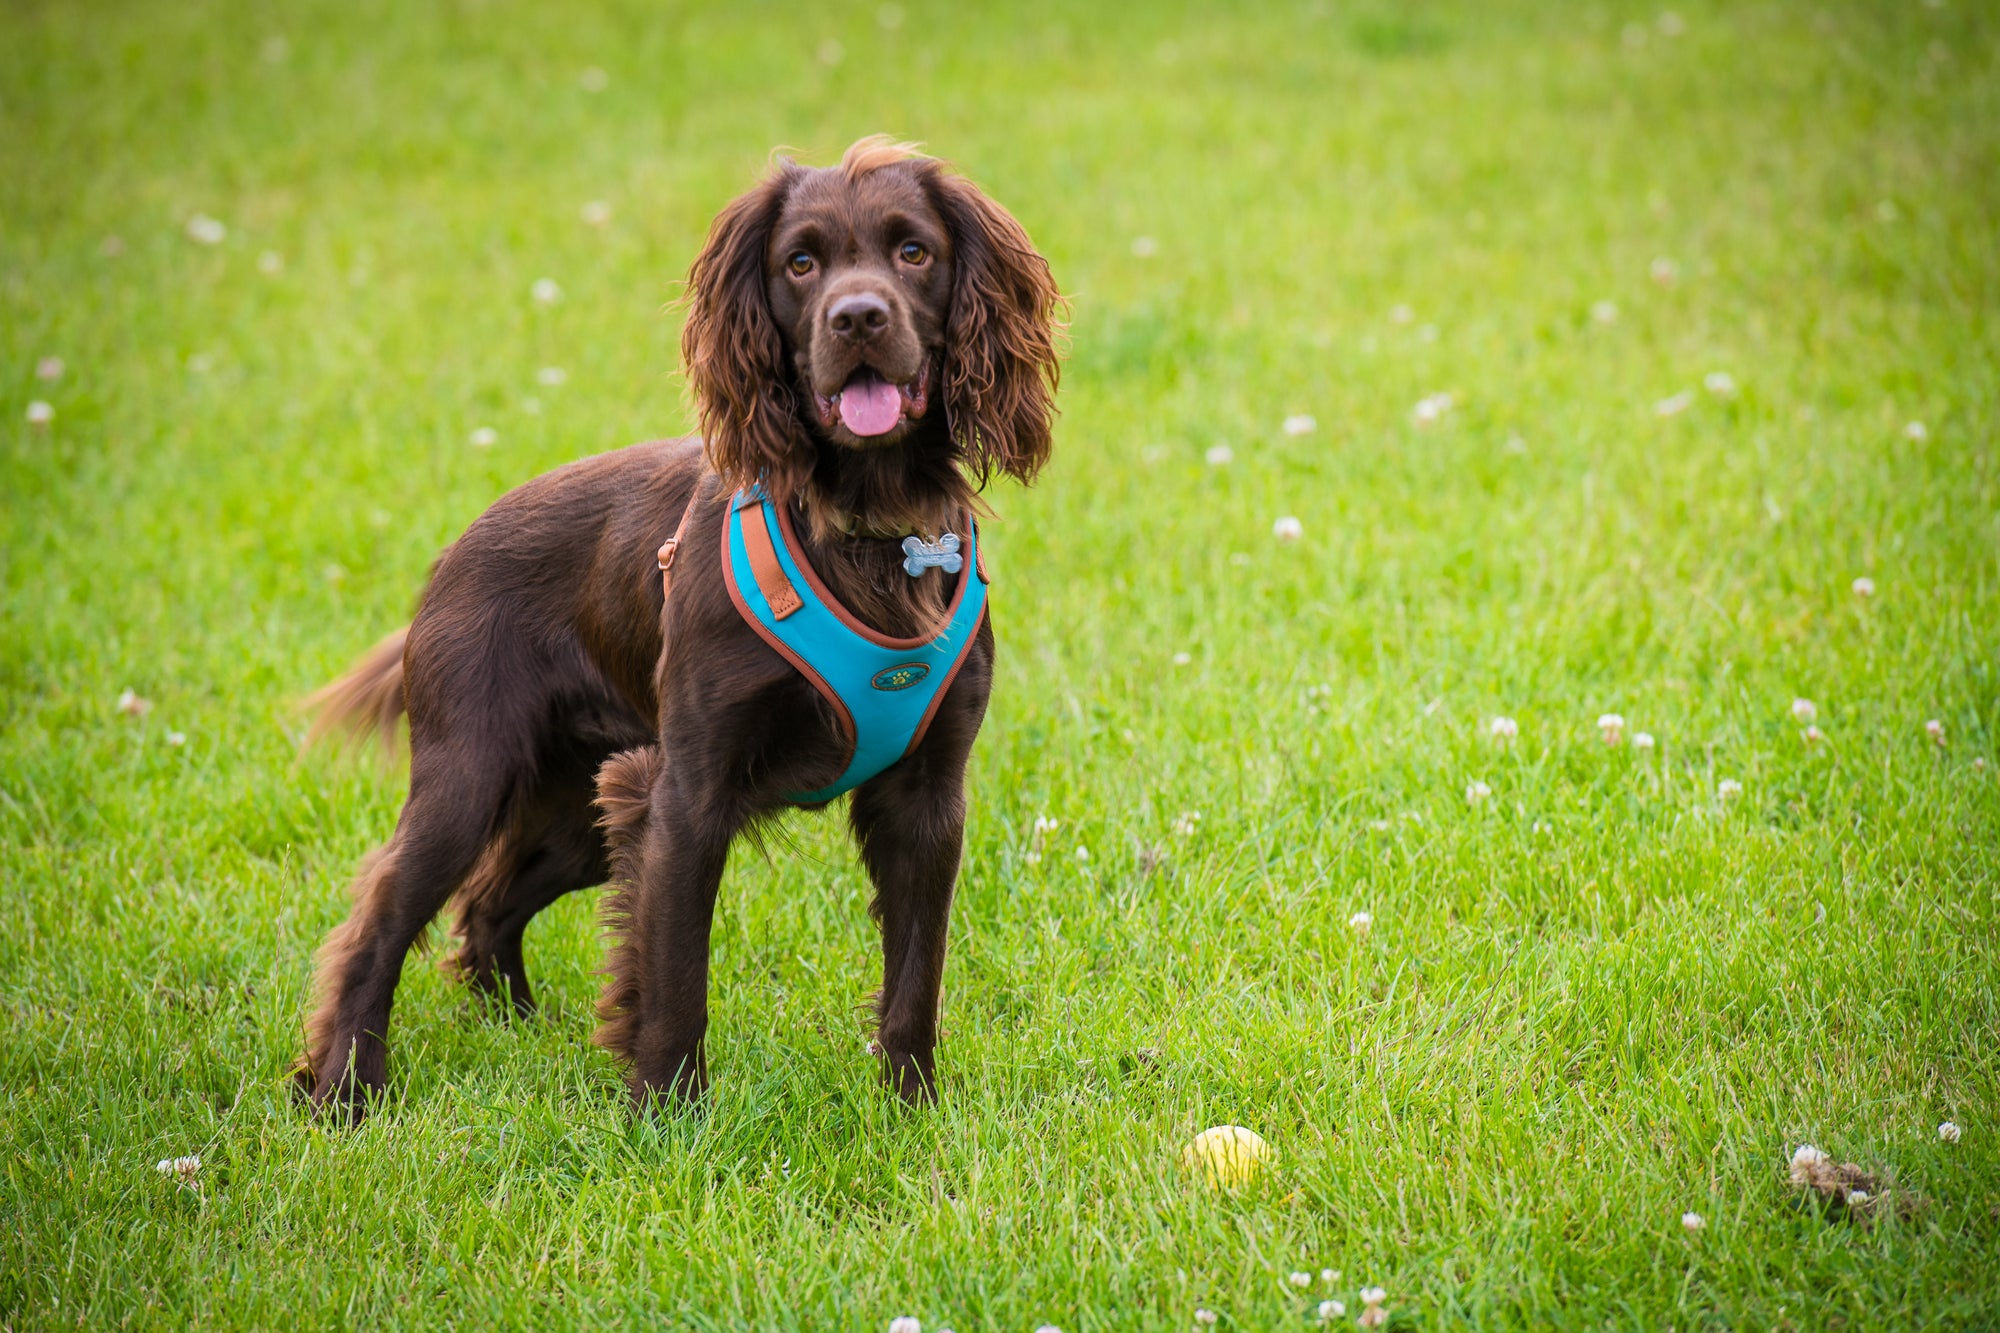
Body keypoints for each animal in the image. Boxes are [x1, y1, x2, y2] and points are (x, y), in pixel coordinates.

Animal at [296, 135, 1064, 1112]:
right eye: (800, 263)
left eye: (913, 251)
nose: (856, 317)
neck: (863, 525)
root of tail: (450, 555)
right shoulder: (685, 791)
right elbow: (674, 973)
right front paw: (667, 1114)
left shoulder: (926, 797)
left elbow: (915, 978)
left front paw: (913, 1110)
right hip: (471, 775)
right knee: (384, 915)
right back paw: (345, 1088)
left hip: (578, 799)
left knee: (490, 902)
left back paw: (518, 1029)